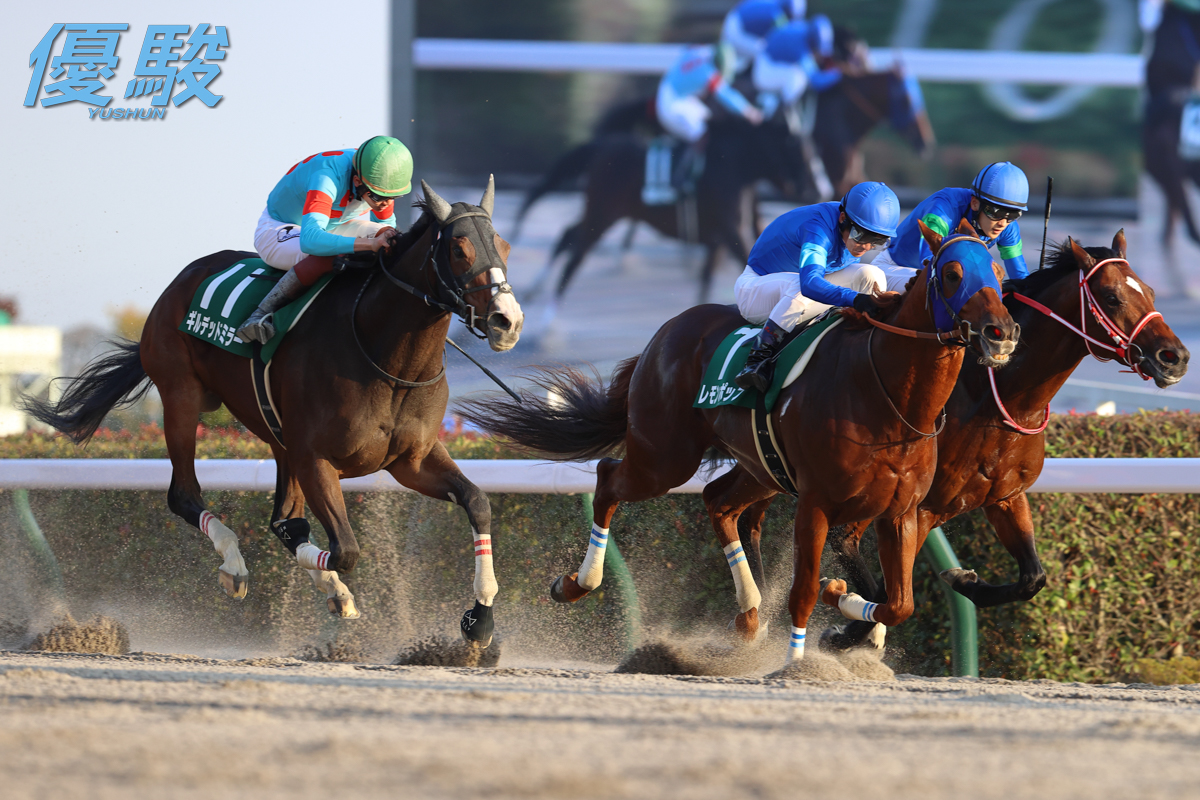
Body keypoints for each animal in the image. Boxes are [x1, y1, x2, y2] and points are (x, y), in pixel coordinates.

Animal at [23, 179, 523, 648]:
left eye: (503, 246)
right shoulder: (315, 458)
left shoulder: (409, 459)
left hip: (277, 437)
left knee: (282, 517)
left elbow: (476, 502)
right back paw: (235, 565)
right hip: (182, 397)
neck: (387, 358)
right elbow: (344, 549)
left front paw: (480, 619)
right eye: (459, 249)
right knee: (185, 495)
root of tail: (184, 277)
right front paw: (333, 586)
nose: (507, 320)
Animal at [458, 220, 1020, 666]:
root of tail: (662, 335)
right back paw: (577, 583)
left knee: (717, 501)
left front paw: (842, 600)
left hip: (757, 465)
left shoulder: (898, 510)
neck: (887, 395)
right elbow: (802, 592)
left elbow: (899, 601)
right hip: (666, 456)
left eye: (997, 275)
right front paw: (798, 661)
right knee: (609, 479)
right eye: (953, 273)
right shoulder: (816, 503)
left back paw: (750, 615)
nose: (1002, 333)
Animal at [724, 232, 1190, 653]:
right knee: (832, 537)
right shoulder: (920, 505)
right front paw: (848, 626)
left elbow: (1032, 577)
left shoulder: (1004, 496)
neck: (999, 398)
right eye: (1111, 297)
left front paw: (960, 578)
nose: (1176, 357)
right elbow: (892, 587)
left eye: (1149, 291)